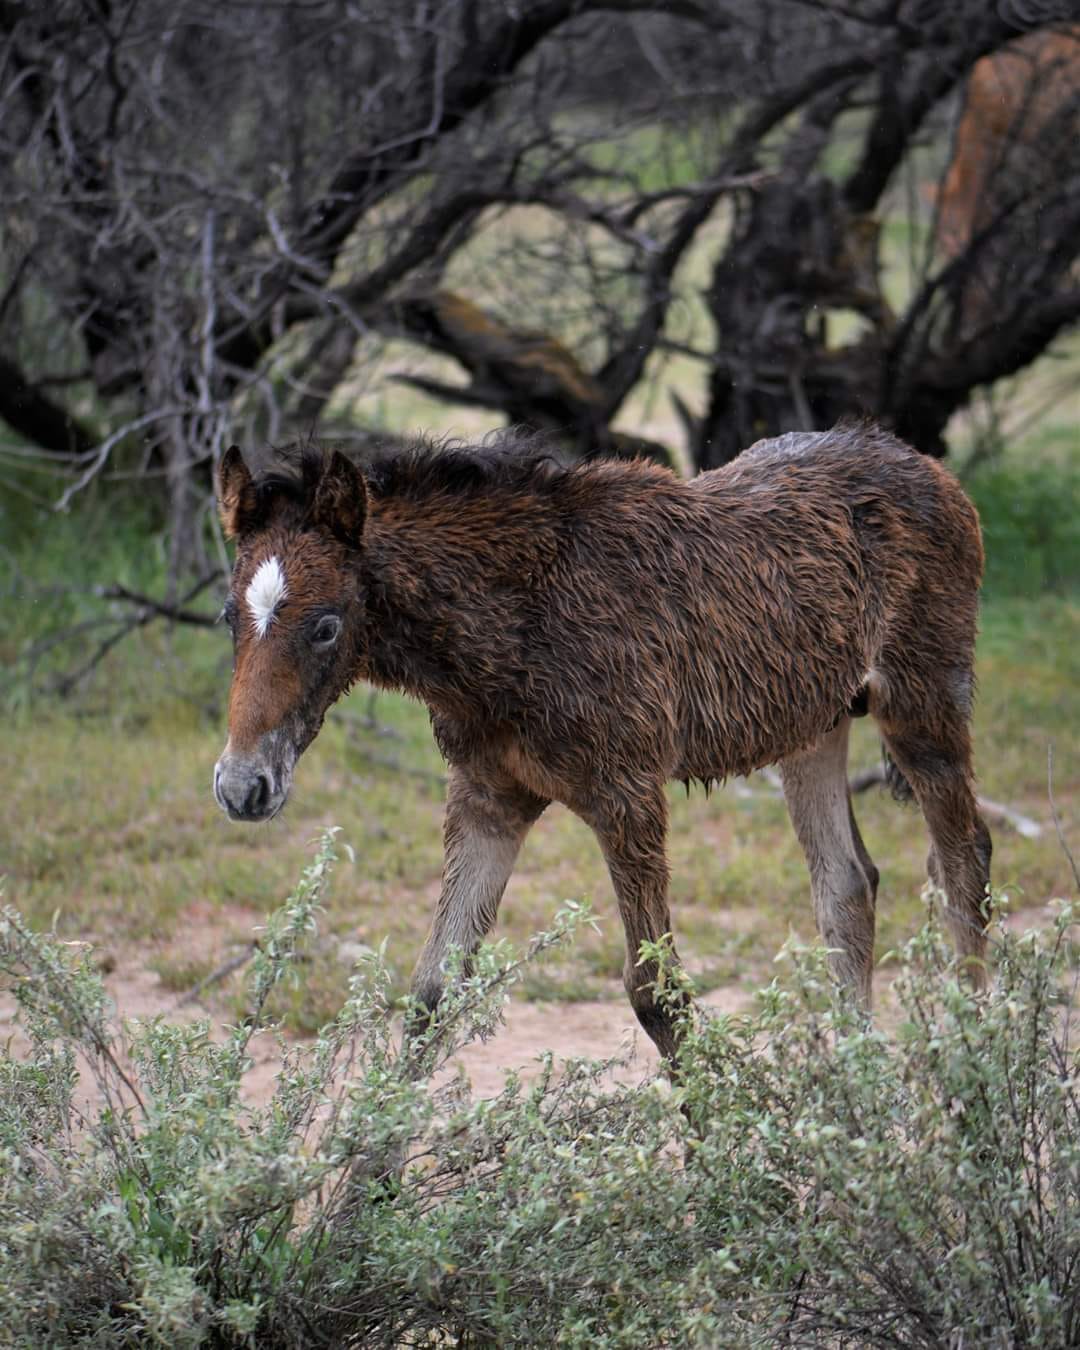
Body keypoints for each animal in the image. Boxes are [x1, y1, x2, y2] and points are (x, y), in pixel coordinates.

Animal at [214, 426, 993, 1058]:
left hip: (922, 704)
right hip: (814, 728)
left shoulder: (628, 797)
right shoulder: (489, 799)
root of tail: (939, 474)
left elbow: (656, 994)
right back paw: (859, 1086)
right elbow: (433, 991)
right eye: (227, 615)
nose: (242, 785)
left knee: (965, 862)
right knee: (847, 884)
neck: (509, 634)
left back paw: (975, 1065)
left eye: (326, 626)